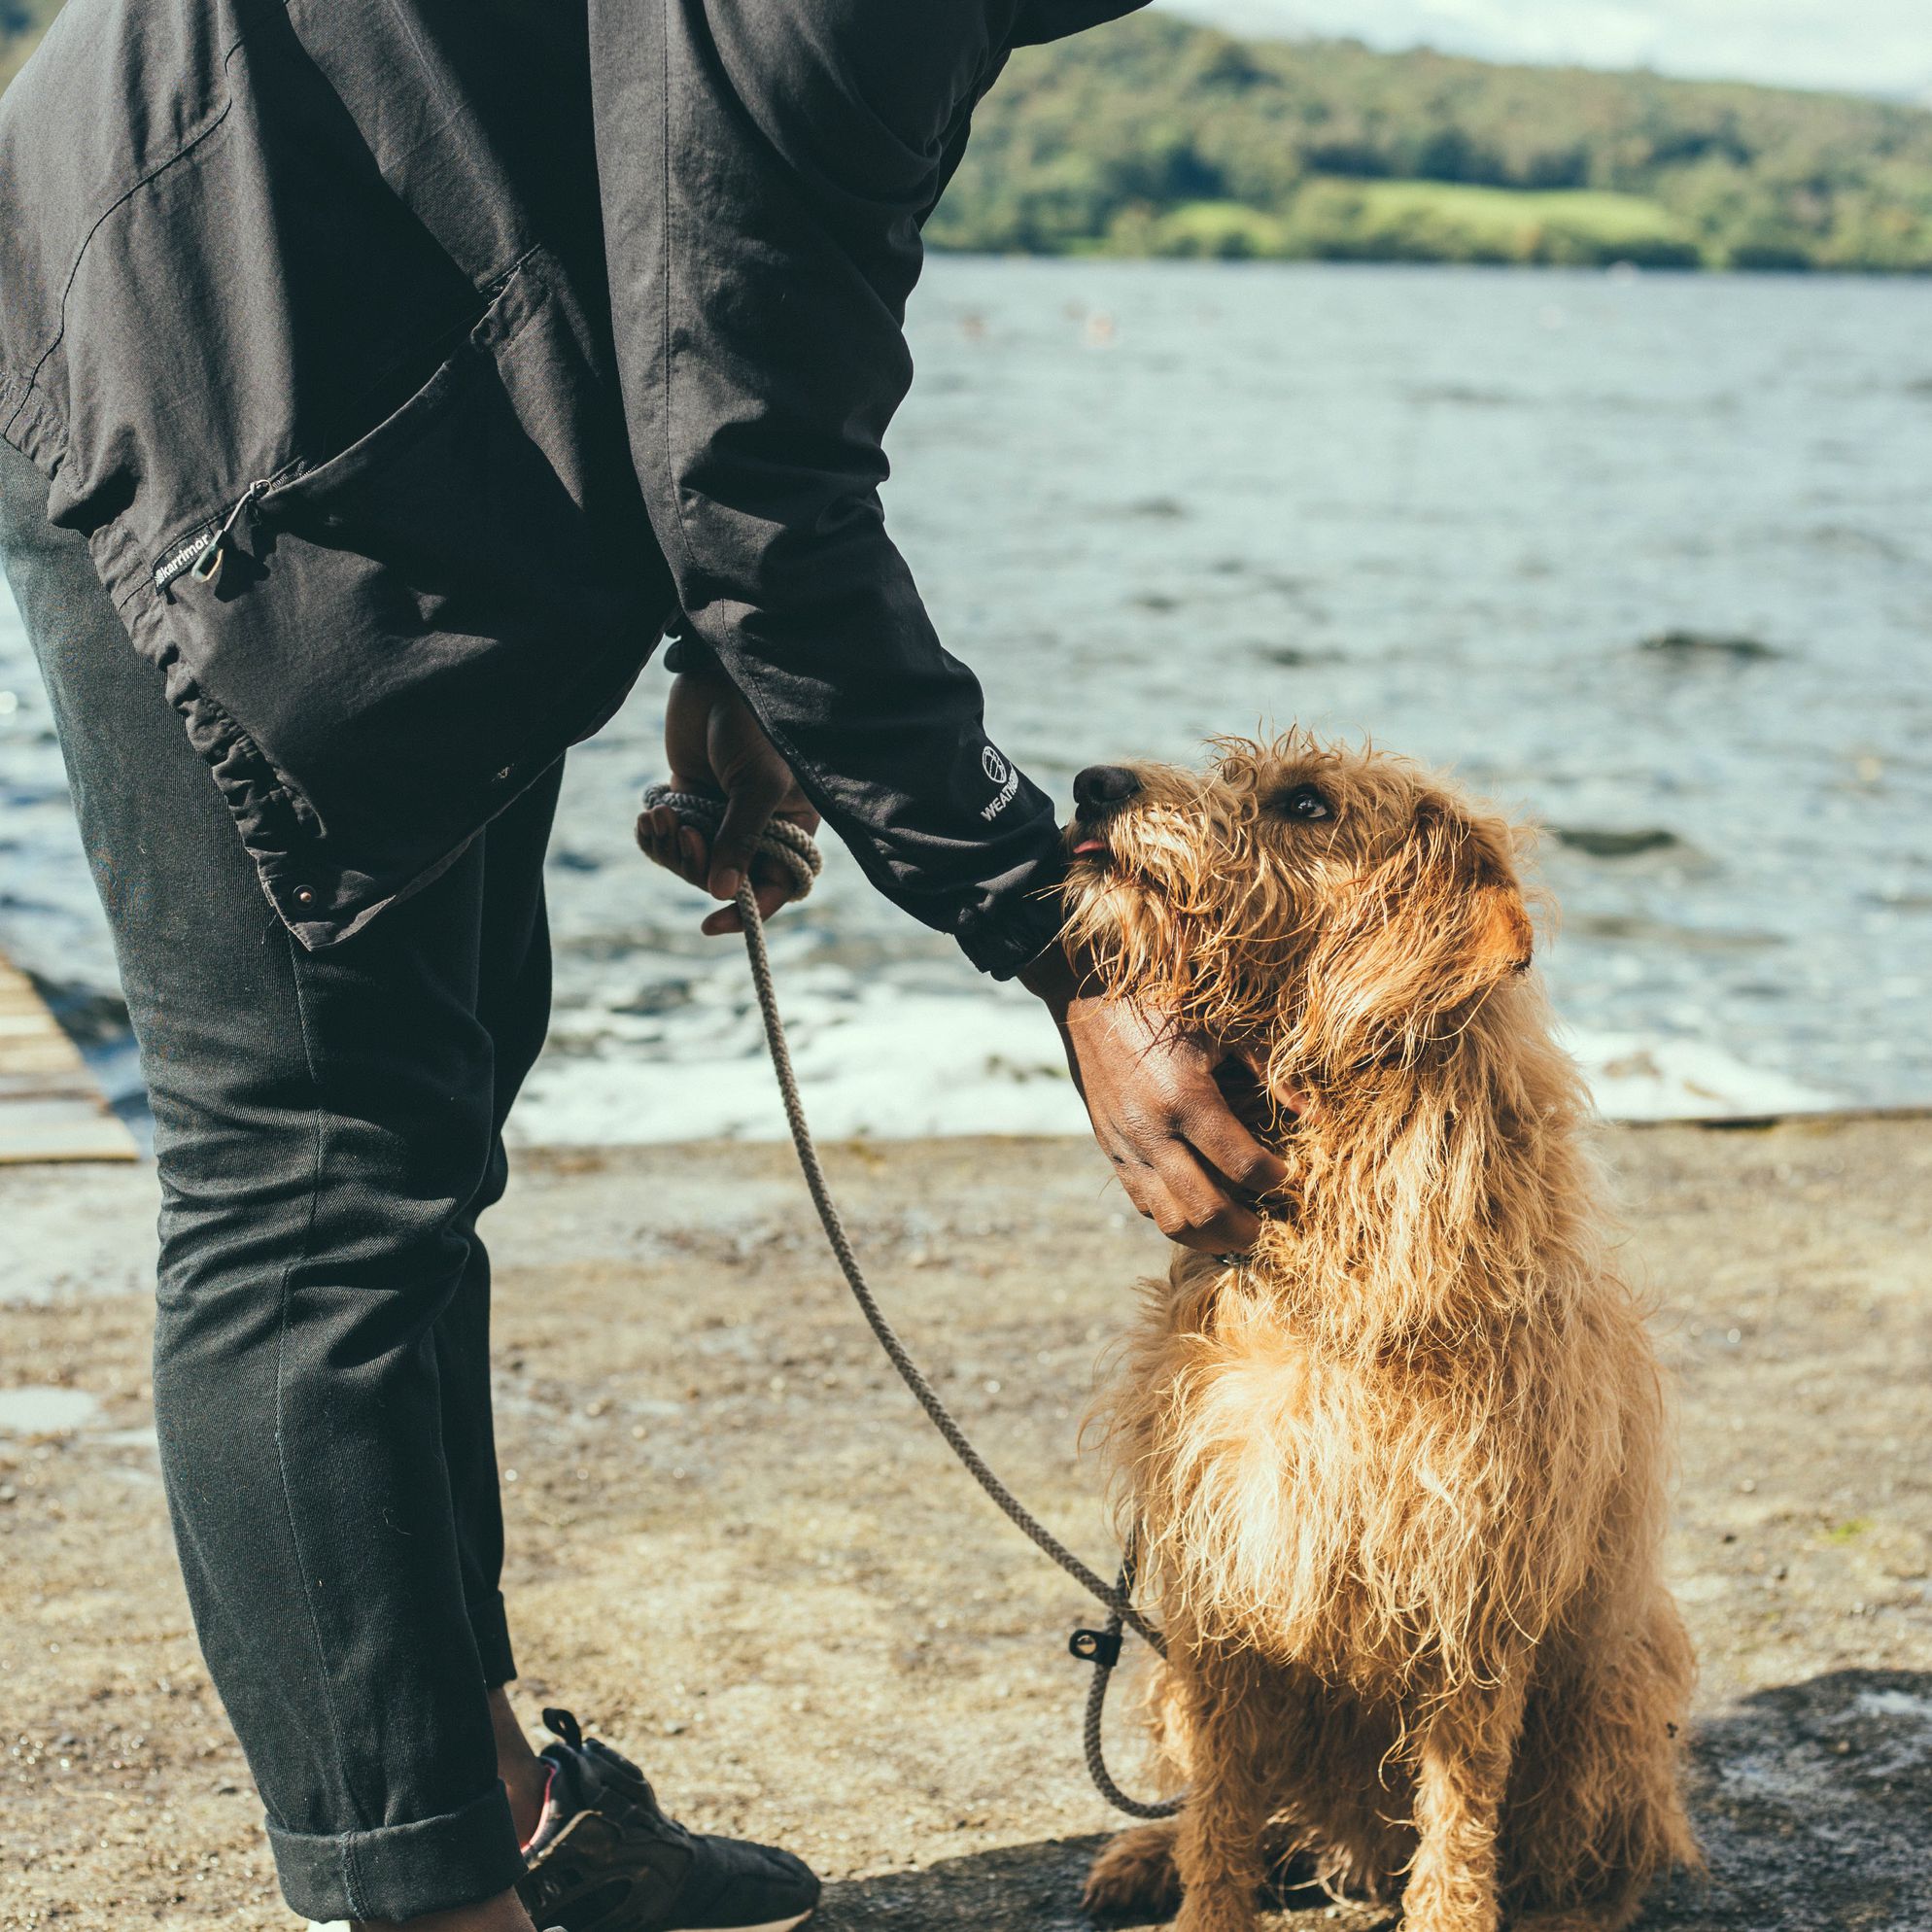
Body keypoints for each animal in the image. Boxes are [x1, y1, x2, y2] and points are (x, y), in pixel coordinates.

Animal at [1066, 738, 1700, 1932]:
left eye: (1306, 803)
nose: (1089, 783)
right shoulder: (1225, 1586)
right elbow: (1220, 1812)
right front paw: (1199, 1895)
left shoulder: (1471, 1603)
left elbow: (1457, 1824)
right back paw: (1147, 1855)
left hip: (1613, 1692)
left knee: (1600, 1853)